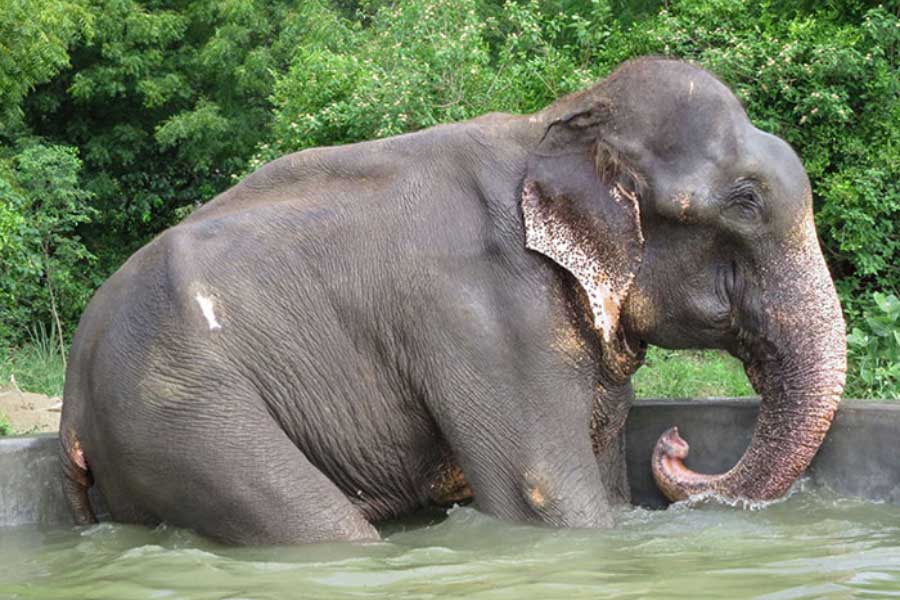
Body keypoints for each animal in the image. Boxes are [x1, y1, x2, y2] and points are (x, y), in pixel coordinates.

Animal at [59, 57, 847, 545]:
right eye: (745, 202)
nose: (678, 442)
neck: (556, 121)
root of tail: (72, 397)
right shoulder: (488, 318)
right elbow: (548, 496)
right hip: (178, 415)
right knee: (316, 526)